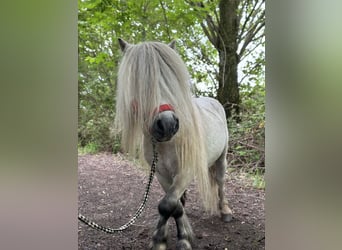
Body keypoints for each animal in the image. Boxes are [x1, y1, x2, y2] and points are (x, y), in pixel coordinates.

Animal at [115, 38, 232, 249]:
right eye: (139, 81)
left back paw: (225, 210)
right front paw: (165, 238)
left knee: (220, 182)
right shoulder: (161, 173)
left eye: (171, 80)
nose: (167, 124)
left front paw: (176, 240)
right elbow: (173, 206)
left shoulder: (186, 171)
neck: (167, 144)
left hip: (221, 159)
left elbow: (167, 204)